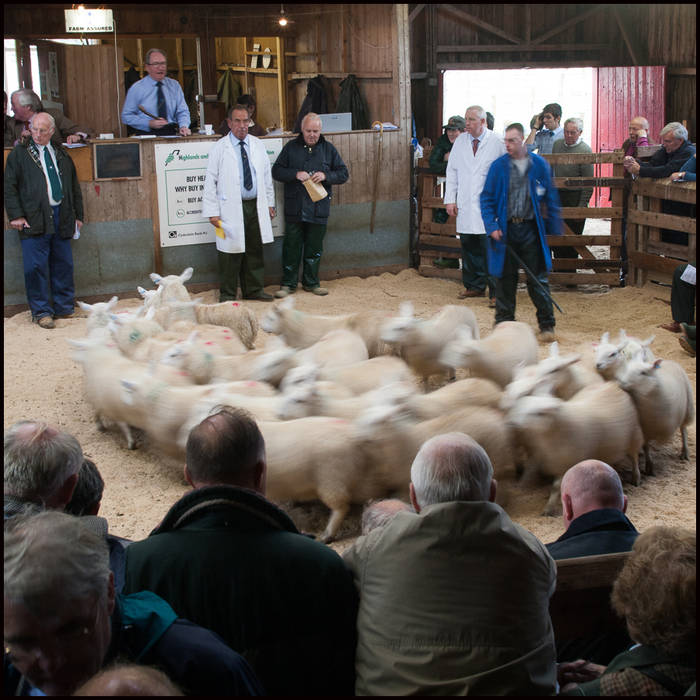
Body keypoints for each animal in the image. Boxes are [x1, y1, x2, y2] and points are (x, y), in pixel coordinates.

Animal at [504, 381, 645, 514]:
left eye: (539, 413)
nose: (512, 423)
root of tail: (612, 384)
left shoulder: (567, 464)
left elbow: (556, 487)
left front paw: (549, 508)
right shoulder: (545, 458)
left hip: (634, 436)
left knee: (634, 458)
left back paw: (636, 478)